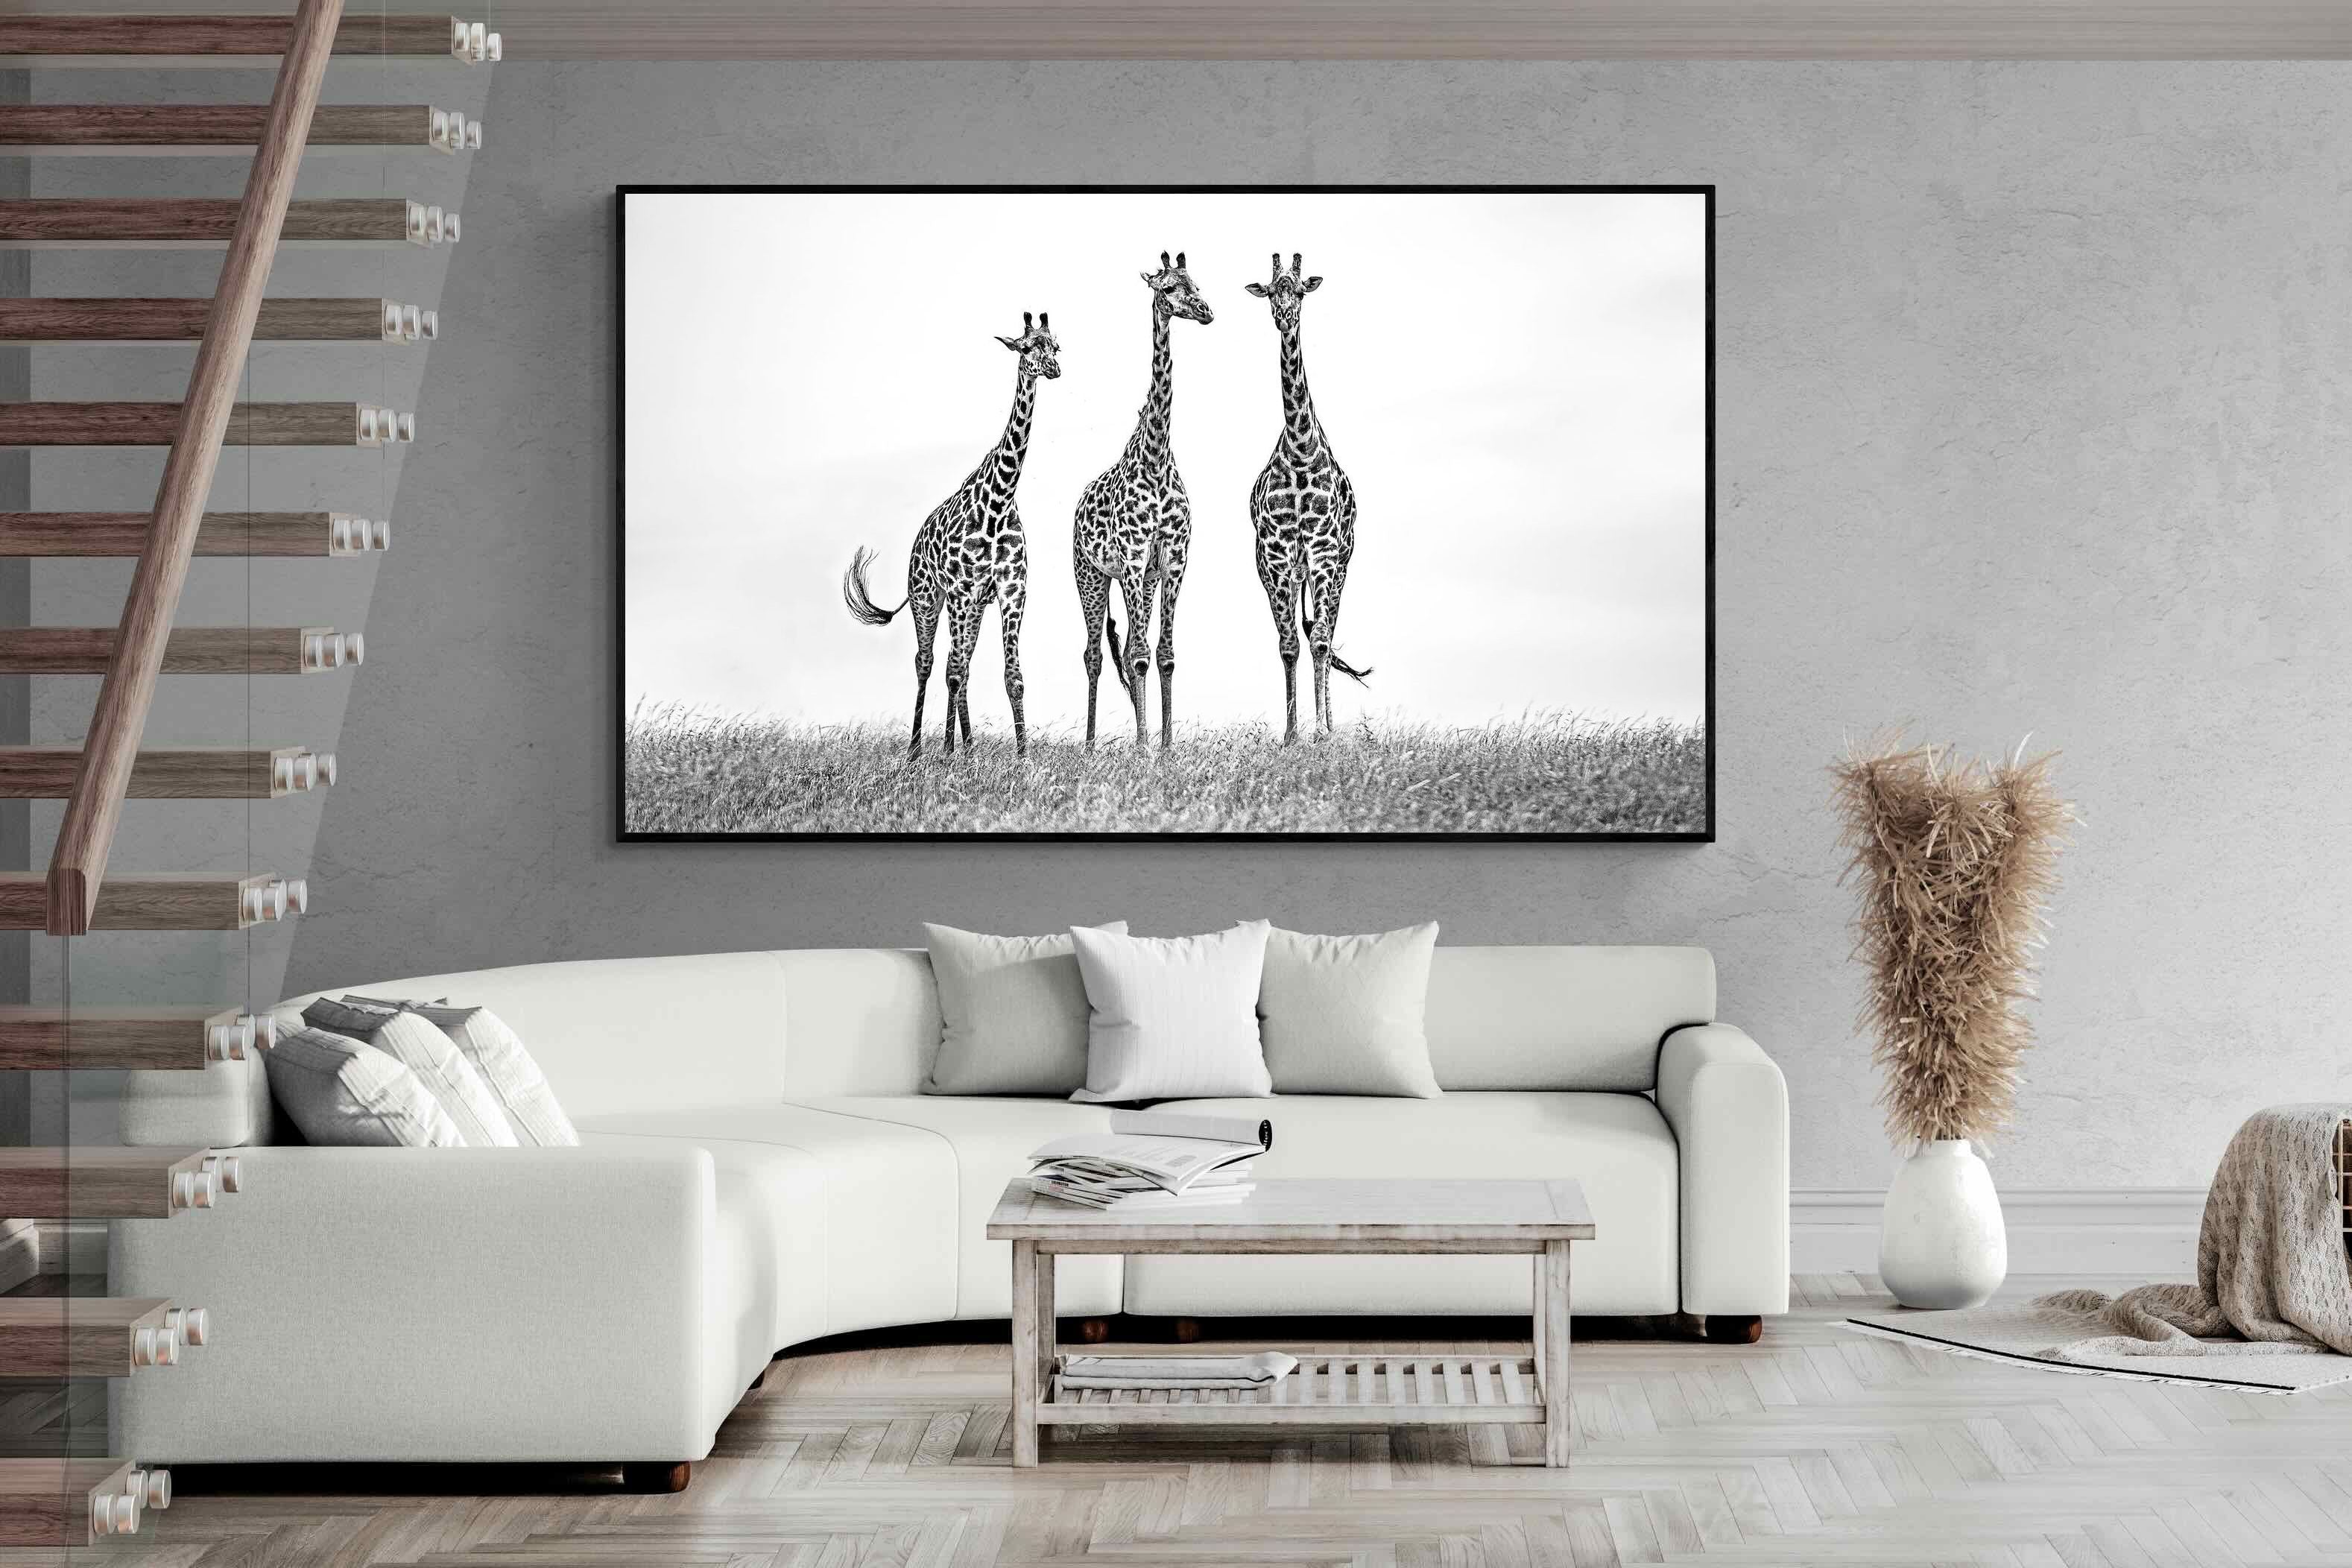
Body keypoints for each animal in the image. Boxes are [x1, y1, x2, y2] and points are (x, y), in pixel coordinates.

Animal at [842, 311, 1059, 760]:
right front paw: (949, 753)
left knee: (959, 664)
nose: (1053, 369)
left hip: (972, 607)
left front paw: (1022, 757)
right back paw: (918, 750)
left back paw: (964, 745)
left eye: (1056, 345)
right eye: (1027, 346)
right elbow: (953, 670)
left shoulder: (1011, 591)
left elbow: (1013, 676)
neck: (999, 499)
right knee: (929, 663)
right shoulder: (960, 591)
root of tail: (915, 544)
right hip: (928, 599)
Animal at [1071, 250, 1213, 749]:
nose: (1206, 311)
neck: (1155, 460)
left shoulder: (1172, 559)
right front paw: (1144, 746)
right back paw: (1092, 743)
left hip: (1143, 581)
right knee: (1095, 653)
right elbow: (1136, 654)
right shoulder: (1132, 559)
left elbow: (1164, 653)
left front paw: (1166, 744)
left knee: (1133, 645)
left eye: (1195, 282)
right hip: (1091, 576)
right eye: (1168, 288)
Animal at [1245, 252, 1369, 744]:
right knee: (1308, 632)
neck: (1300, 450)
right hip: (1284, 571)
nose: (1284, 316)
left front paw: (1321, 732)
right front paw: (1291, 734)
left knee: (1326, 633)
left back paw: (1330, 724)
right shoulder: (1278, 555)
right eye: (1270, 291)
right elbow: (1289, 645)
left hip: (1340, 567)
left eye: (1298, 291)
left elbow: (1319, 641)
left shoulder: (1323, 551)